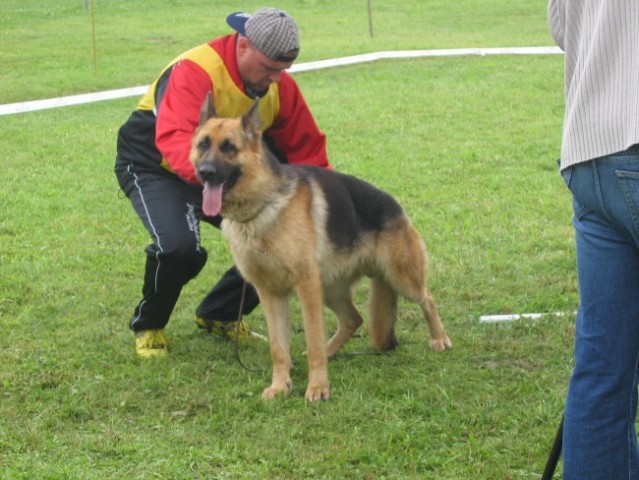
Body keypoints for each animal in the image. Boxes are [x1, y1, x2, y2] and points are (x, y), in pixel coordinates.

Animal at [191, 94, 456, 402]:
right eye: (203, 145)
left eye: (229, 147)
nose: (205, 173)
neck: (263, 205)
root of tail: (395, 205)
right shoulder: (270, 294)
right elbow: (278, 348)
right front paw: (280, 385)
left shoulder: (306, 286)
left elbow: (313, 338)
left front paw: (318, 388)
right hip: (330, 288)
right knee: (353, 319)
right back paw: (332, 352)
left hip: (400, 277)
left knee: (427, 298)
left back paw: (439, 338)